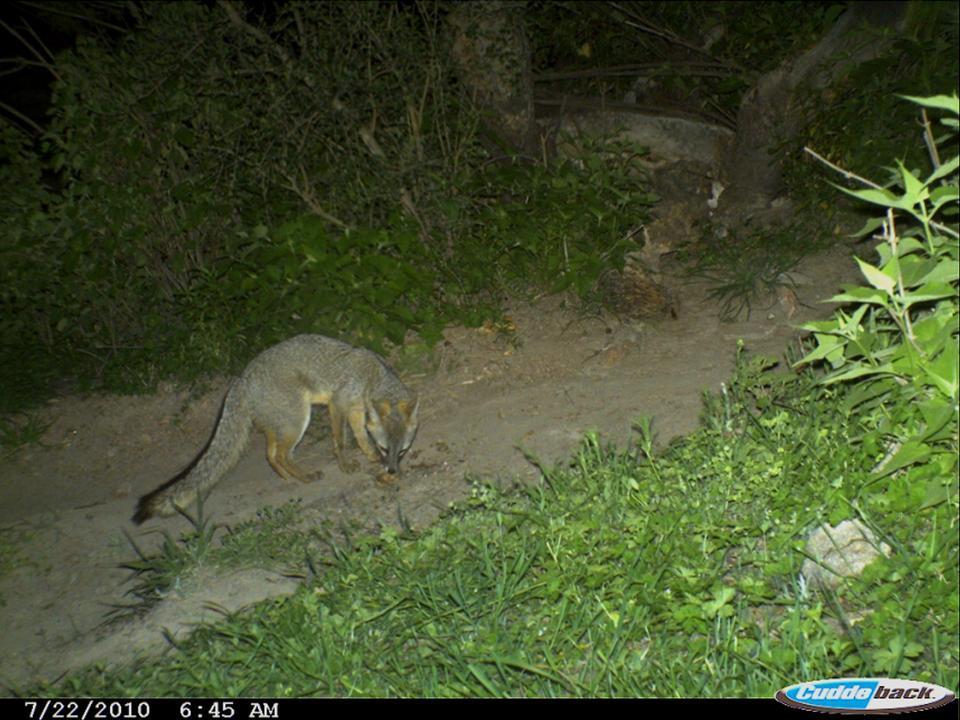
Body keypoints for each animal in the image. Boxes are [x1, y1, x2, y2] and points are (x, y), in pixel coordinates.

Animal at [133, 334, 419, 524]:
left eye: (402, 451)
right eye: (386, 448)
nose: (392, 470)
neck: (372, 377)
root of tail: (242, 379)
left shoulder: (356, 410)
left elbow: (360, 436)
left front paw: (368, 455)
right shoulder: (338, 404)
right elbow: (340, 440)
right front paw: (345, 464)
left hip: (282, 426)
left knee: (270, 455)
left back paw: (287, 477)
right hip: (298, 420)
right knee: (281, 454)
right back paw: (304, 477)